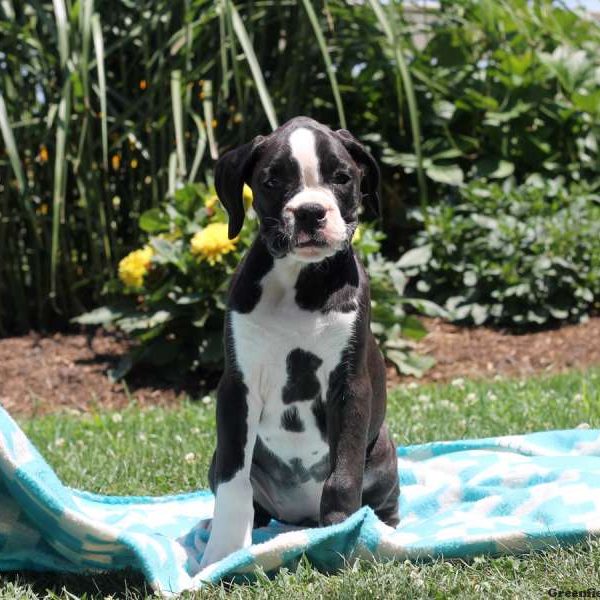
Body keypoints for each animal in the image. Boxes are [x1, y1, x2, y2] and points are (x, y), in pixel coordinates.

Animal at [200, 116, 398, 568]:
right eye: (273, 180)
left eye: (342, 178)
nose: (310, 211)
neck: (299, 281)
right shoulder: (237, 389)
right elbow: (233, 483)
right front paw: (223, 553)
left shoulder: (350, 387)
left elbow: (343, 476)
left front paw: (341, 537)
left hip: (384, 452)